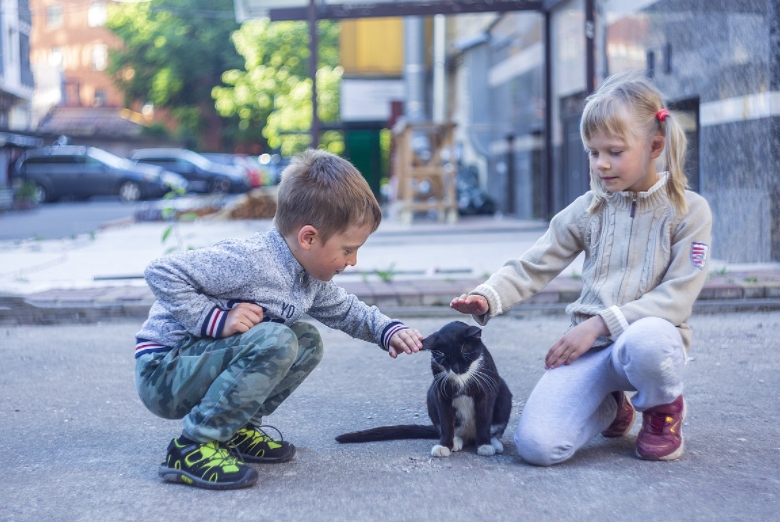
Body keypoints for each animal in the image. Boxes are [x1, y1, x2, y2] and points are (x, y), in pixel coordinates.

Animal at [336, 318, 512, 458]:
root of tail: (469, 435)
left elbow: (484, 418)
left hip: (504, 393)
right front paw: (444, 445)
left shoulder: (486, 388)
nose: (456, 369)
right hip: (431, 394)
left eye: (465, 354)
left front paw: (485, 445)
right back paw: (455, 441)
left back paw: (494, 443)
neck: (461, 378)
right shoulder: (440, 391)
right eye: (444, 358)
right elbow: (446, 421)